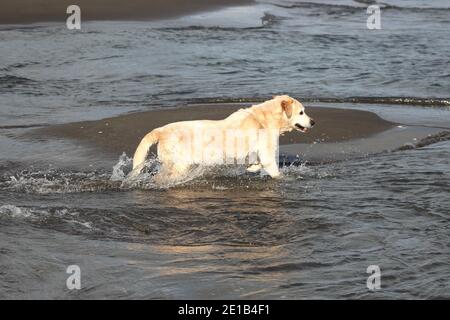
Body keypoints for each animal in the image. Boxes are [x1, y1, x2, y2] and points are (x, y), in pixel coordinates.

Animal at [131, 95, 312, 180]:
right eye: (301, 112)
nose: (314, 121)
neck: (264, 119)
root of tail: (161, 130)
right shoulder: (266, 153)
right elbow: (273, 169)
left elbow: (255, 162)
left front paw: (252, 168)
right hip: (180, 166)